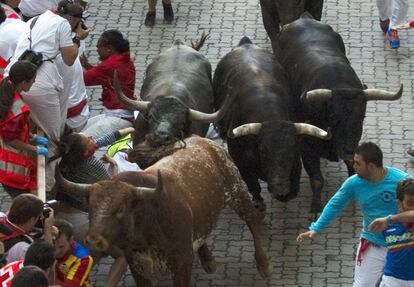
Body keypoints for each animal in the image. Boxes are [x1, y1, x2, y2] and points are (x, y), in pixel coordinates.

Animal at [55, 137, 272, 286]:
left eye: (121, 208)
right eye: (90, 206)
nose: (93, 240)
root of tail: (204, 141)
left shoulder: (182, 264)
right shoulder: (139, 269)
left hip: (237, 191)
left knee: (252, 219)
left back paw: (263, 264)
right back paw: (208, 259)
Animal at [212, 37, 328, 210]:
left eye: (292, 151)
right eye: (264, 151)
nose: (280, 187)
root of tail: (245, 44)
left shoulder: (295, 165)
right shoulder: (241, 163)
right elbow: (253, 186)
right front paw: (258, 202)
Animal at [276, 18, 402, 215]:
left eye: (362, 117)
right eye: (334, 116)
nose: (347, 149)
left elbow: (353, 170)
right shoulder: (306, 146)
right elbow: (317, 179)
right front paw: (316, 207)